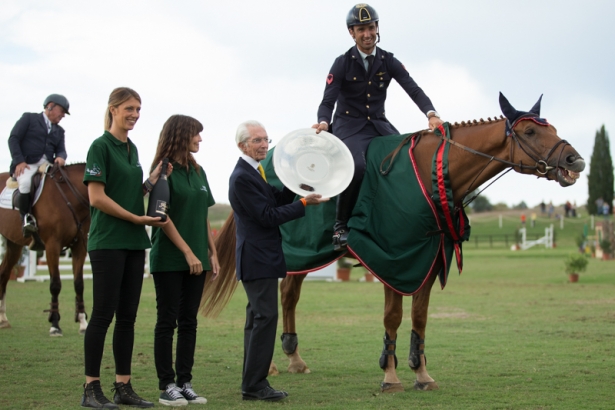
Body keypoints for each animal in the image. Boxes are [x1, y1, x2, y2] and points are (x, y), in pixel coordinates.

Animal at [0, 162, 90, 334]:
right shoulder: (52, 246)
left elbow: (79, 284)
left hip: (14, 245)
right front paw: (54, 324)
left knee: (4, 274)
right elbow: (55, 284)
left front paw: (83, 322)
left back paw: (3, 319)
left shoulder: (79, 246)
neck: (69, 194)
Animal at [202, 94, 588, 392]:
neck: (432, 173)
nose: (576, 160)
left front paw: (421, 372)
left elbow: (419, 317)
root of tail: (264, 163)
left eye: (552, 128)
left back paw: (294, 358)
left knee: (288, 295)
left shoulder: (428, 259)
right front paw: (390, 375)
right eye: (530, 131)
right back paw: (267, 367)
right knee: (261, 302)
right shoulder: (393, 259)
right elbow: (393, 317)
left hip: (302, 256)